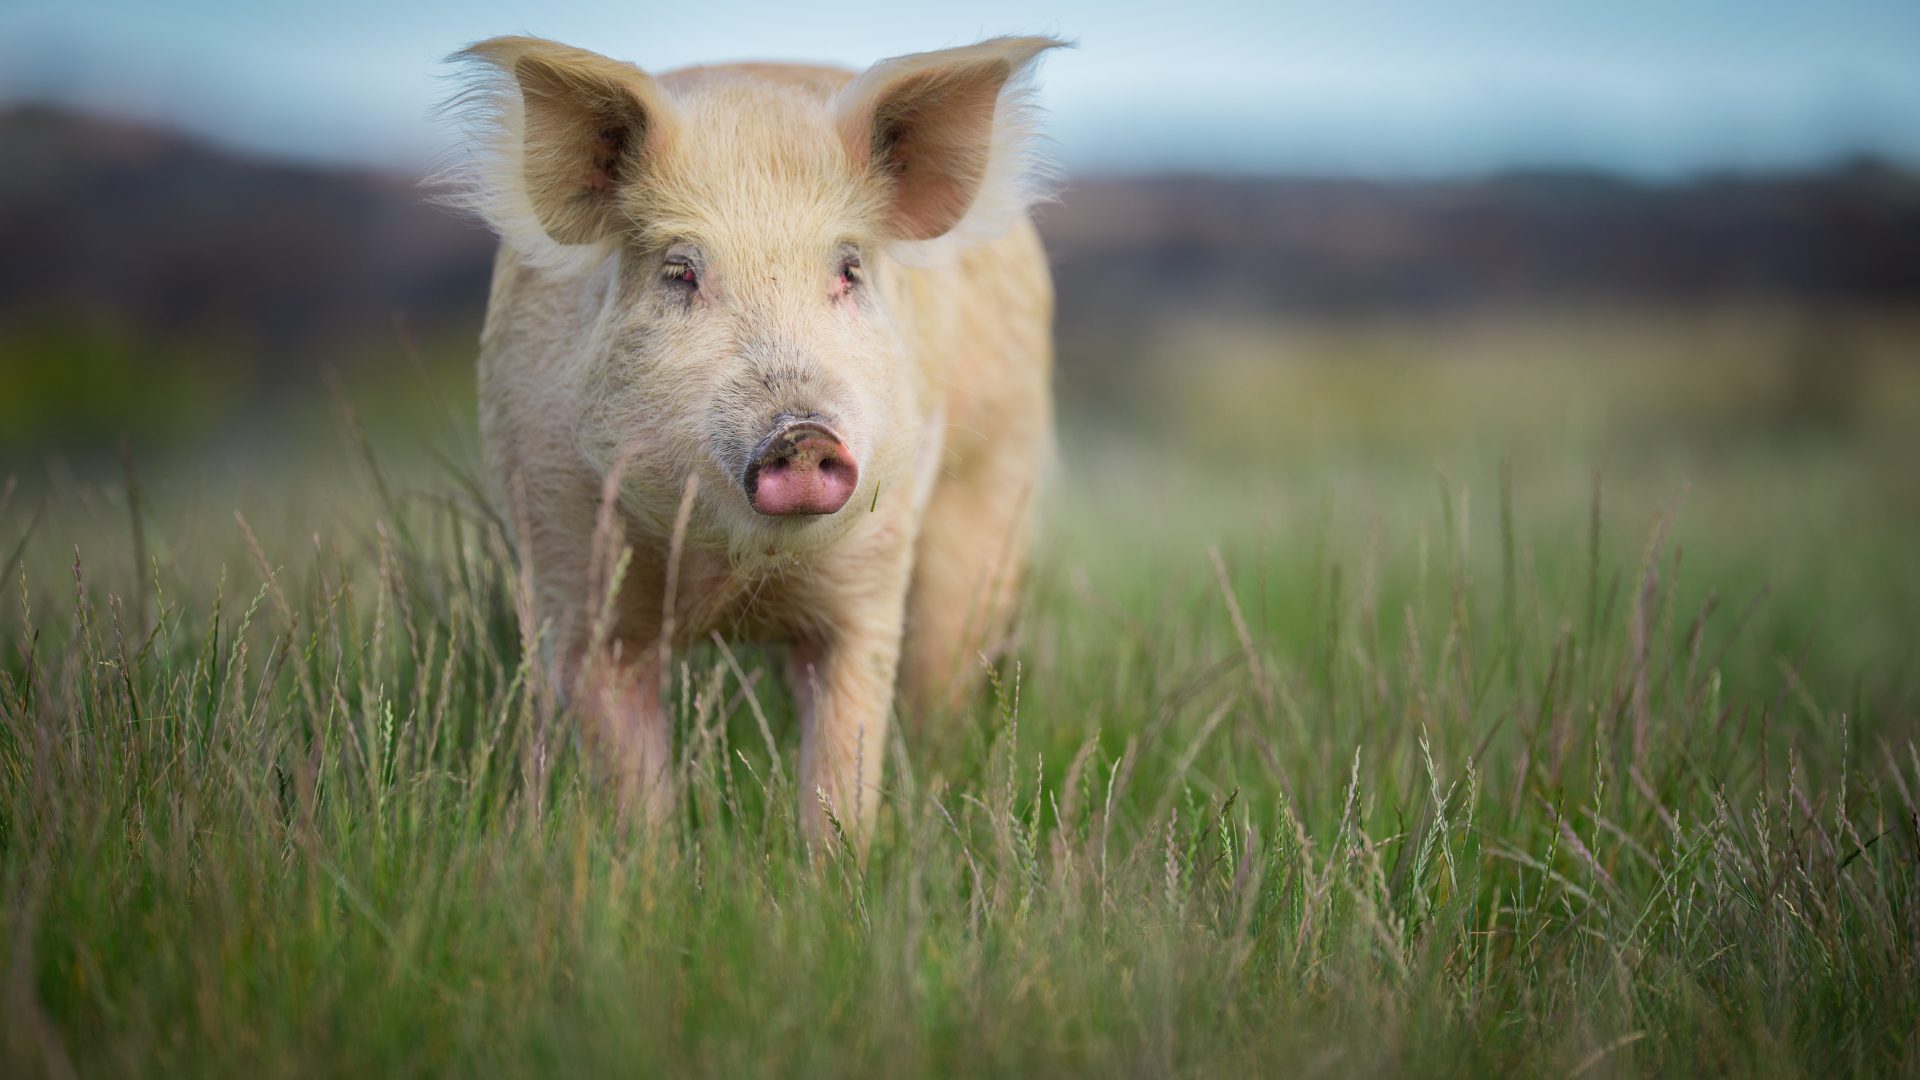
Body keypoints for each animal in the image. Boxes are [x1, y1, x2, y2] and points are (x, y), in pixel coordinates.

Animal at [439, 35, 1067, 841]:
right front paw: (645, 863)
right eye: (680, 270)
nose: (800, 433)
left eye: (849, 269)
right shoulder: (568, 550)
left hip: (994, 478)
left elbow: (845, 753)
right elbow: (626, 764)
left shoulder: (870, 571)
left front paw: (840, 866)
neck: (732, 574)